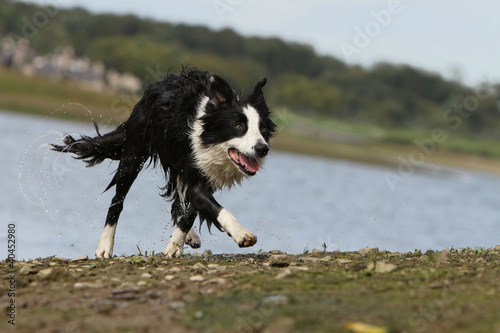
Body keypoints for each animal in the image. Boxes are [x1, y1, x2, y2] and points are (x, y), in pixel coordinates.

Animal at [53, 67, 278, 258]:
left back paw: (188, 236)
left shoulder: (205, 174)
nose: (262, 149)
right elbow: (214, 207)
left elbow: (192, 211)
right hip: (134, 156)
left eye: (262, 130)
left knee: (178, 201)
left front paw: (175, 245)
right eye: (238, 126)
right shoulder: (194, 170)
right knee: (117, 201)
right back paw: (104, 246)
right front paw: (241, 234)